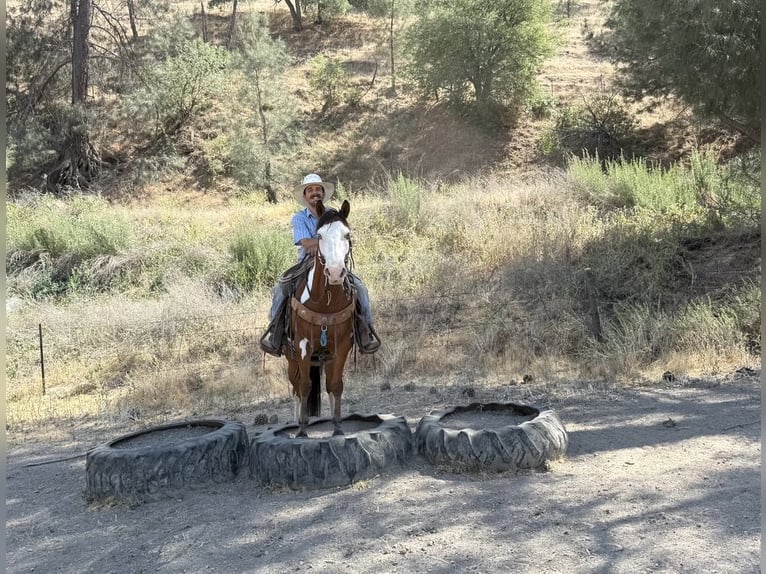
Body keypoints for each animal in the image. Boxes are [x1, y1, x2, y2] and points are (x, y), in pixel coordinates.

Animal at [285, 199, 356, 437]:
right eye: (320, 236)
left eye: (347, 234)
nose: (334, 273)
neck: (326, 302)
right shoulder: (303, 345)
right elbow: (305, 385)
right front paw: (302, 430)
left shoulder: (342, 345)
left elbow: (336, 385)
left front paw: (338, 428)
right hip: (291, 356)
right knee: (296, 386)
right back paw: (296, 420)